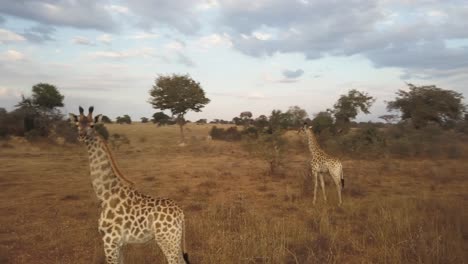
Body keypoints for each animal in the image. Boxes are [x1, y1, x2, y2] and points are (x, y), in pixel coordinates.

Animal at [68, 106, 189, 262]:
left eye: (92, 125)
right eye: (77, 124)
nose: (81, 135)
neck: (105, 195)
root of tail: (181, 214)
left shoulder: (109, 241)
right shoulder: (119, 244)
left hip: (167, 239)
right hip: (174, 240)